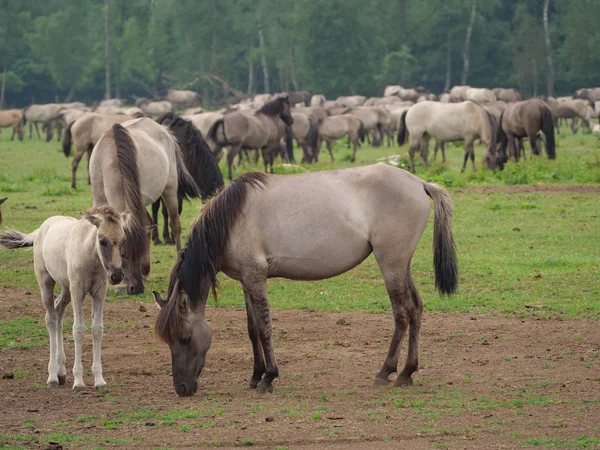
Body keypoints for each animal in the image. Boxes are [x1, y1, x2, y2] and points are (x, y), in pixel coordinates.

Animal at [0, 207, 131, 390]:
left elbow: (97, 329)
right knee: (51, 318)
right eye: (102, 240)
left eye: (123, 240)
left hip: (66, 288)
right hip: (47, 283)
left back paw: (61, 371)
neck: (90, 255)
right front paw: (79, 382)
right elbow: (78, 329)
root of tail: (41, 228)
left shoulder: (99, 291)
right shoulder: (77, 291)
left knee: (58, 311)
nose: (117, 275)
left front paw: (99, 380)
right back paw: (52, 377)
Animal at [89, 117, 202, 296]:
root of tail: (165, 131)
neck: (111, 158)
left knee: (175, 223)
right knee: (149, 223)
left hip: (169, 189)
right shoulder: (99, 200)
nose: (137, 288)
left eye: (138, 253)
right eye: (123, 254)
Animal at [151, 163, 460, 396]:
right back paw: (408, 372)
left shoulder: (255, 277)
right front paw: (255, 374)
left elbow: (264, 328)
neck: (231, 219)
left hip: (391, 265)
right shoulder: (245, 280)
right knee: (417, 309)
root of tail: (419, 183)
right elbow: (252, 329)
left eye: (185, 337)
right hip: (401, 265)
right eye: (168, 341)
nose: (181, 389)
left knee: (402, 312)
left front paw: (269, 377)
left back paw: (386, 372)